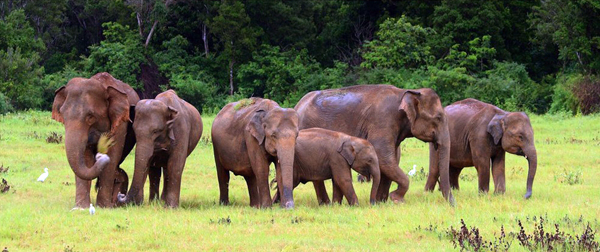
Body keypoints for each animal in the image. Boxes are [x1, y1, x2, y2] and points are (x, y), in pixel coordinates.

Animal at [51, 72, 138, 208]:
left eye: (90, 117)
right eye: (63, 115)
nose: (100, 155)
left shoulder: (120, 124)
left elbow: (112, 156)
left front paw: (103, 207)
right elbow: (86, 157)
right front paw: (81, 207)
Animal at [296, 84, 454, 205]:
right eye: (438, 118)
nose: (453, 204)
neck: (405, 92)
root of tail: (297, 106)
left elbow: (393, 159)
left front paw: (382, 202)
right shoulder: (383, 120)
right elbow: (384, 158)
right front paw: (396, 199)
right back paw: (326, 204)